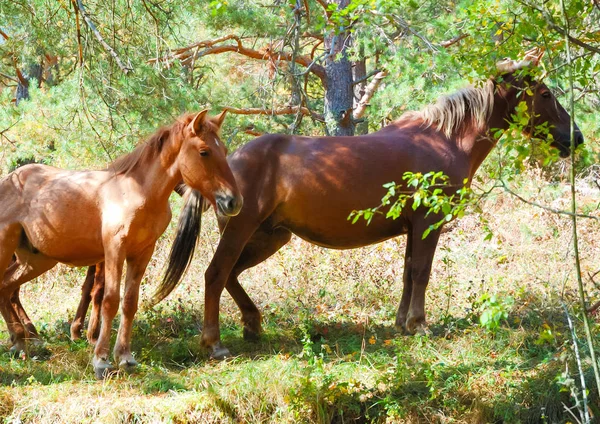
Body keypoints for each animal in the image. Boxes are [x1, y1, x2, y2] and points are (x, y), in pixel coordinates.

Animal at [1, 109, 244, 378]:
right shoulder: (114, 251)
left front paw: (125, 356)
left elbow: (129, 302)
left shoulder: (142, 253)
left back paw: (19, 342)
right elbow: (109, 300)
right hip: (8, 248)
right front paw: (101, 360)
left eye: (224, 149)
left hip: (35, 260)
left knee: (5, 287)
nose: (233, 202)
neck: (136, 192)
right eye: (204, 151)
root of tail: (9, 179)